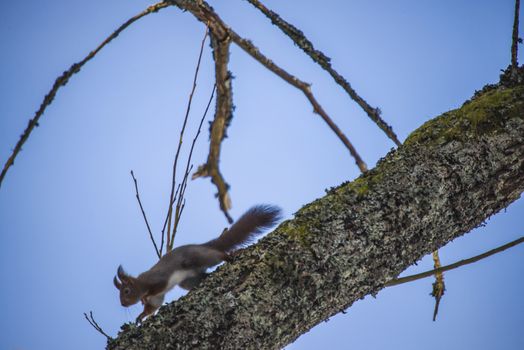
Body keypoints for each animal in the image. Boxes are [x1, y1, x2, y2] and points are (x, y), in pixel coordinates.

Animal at [112, 205, 280, 322]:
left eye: (126, 291)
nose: (123, 304)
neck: (142, 283)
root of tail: (203, 246)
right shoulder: (157, 298)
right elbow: (154, 306)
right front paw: (141, 315)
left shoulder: (158, 279)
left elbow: (157, 288)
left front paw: (144, 297)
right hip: (188, 280)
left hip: (200, 257)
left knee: (218, 255)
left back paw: (230, 255)